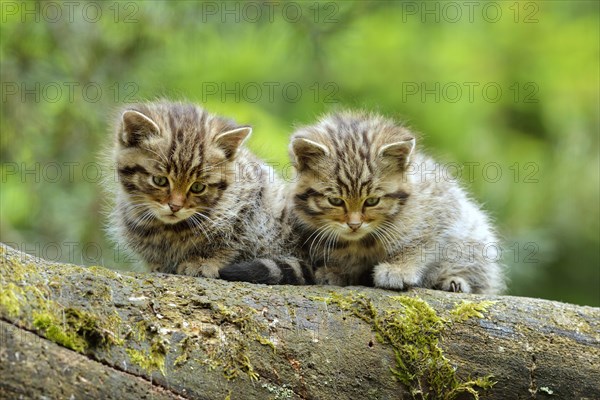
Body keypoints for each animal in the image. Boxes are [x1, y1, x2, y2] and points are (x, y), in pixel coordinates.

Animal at [109, 101, 304, 280]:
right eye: (160, 180)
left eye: (197, 187)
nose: (175, 207)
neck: (171, 229)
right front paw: (158, 264)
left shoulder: (250, 203)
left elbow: (231, 242)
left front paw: (203, 261)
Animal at [218, 110, 504, 294]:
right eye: (335, 200)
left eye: (372, 200)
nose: (354, 224)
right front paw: (336, 271)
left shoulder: (439, 204)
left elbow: (421, 242)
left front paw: (399, 268)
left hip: (474, 240)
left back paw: (454, 281)